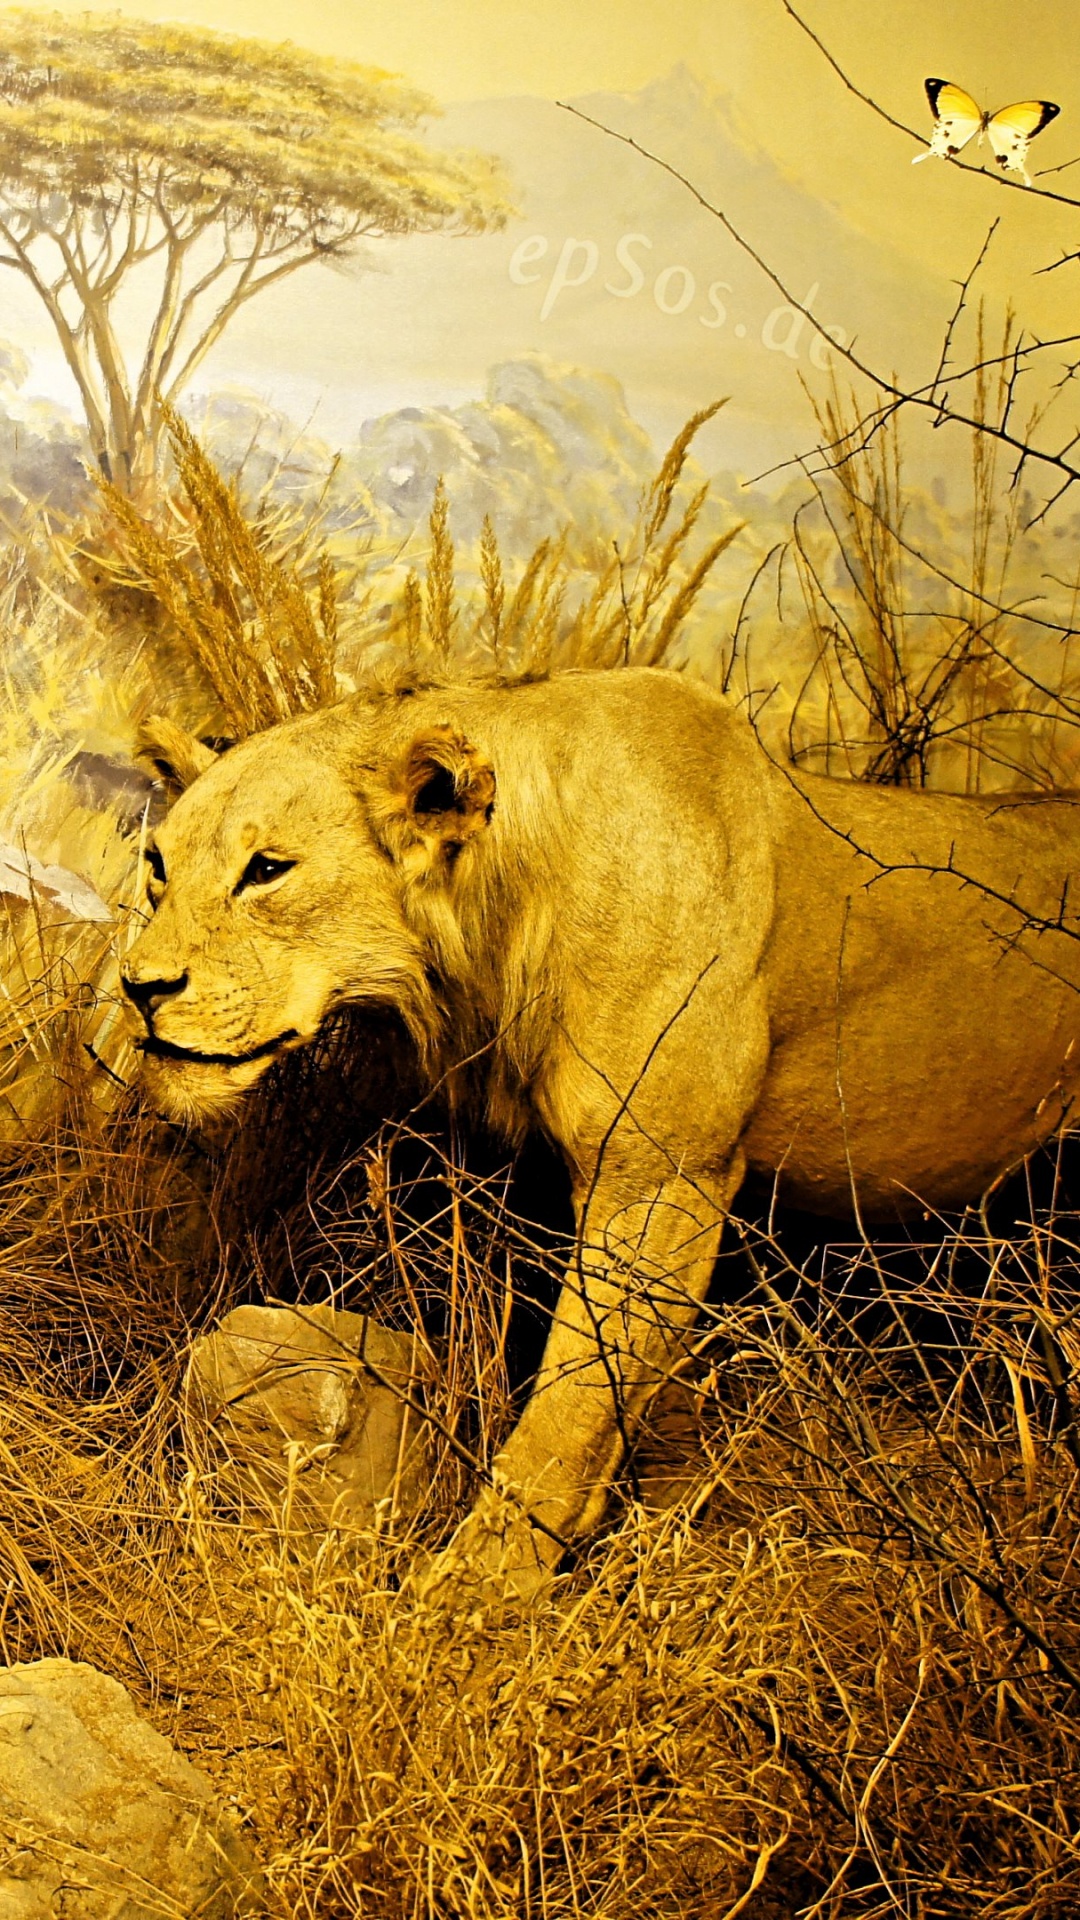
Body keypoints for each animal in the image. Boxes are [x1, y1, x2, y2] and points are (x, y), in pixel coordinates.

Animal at [123, 668, 1080, 1595]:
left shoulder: (661, 1177)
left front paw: (473, 1593)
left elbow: (571, 1404)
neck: (503, 917)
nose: (139, 987)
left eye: (267, 869)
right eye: (156, 869)